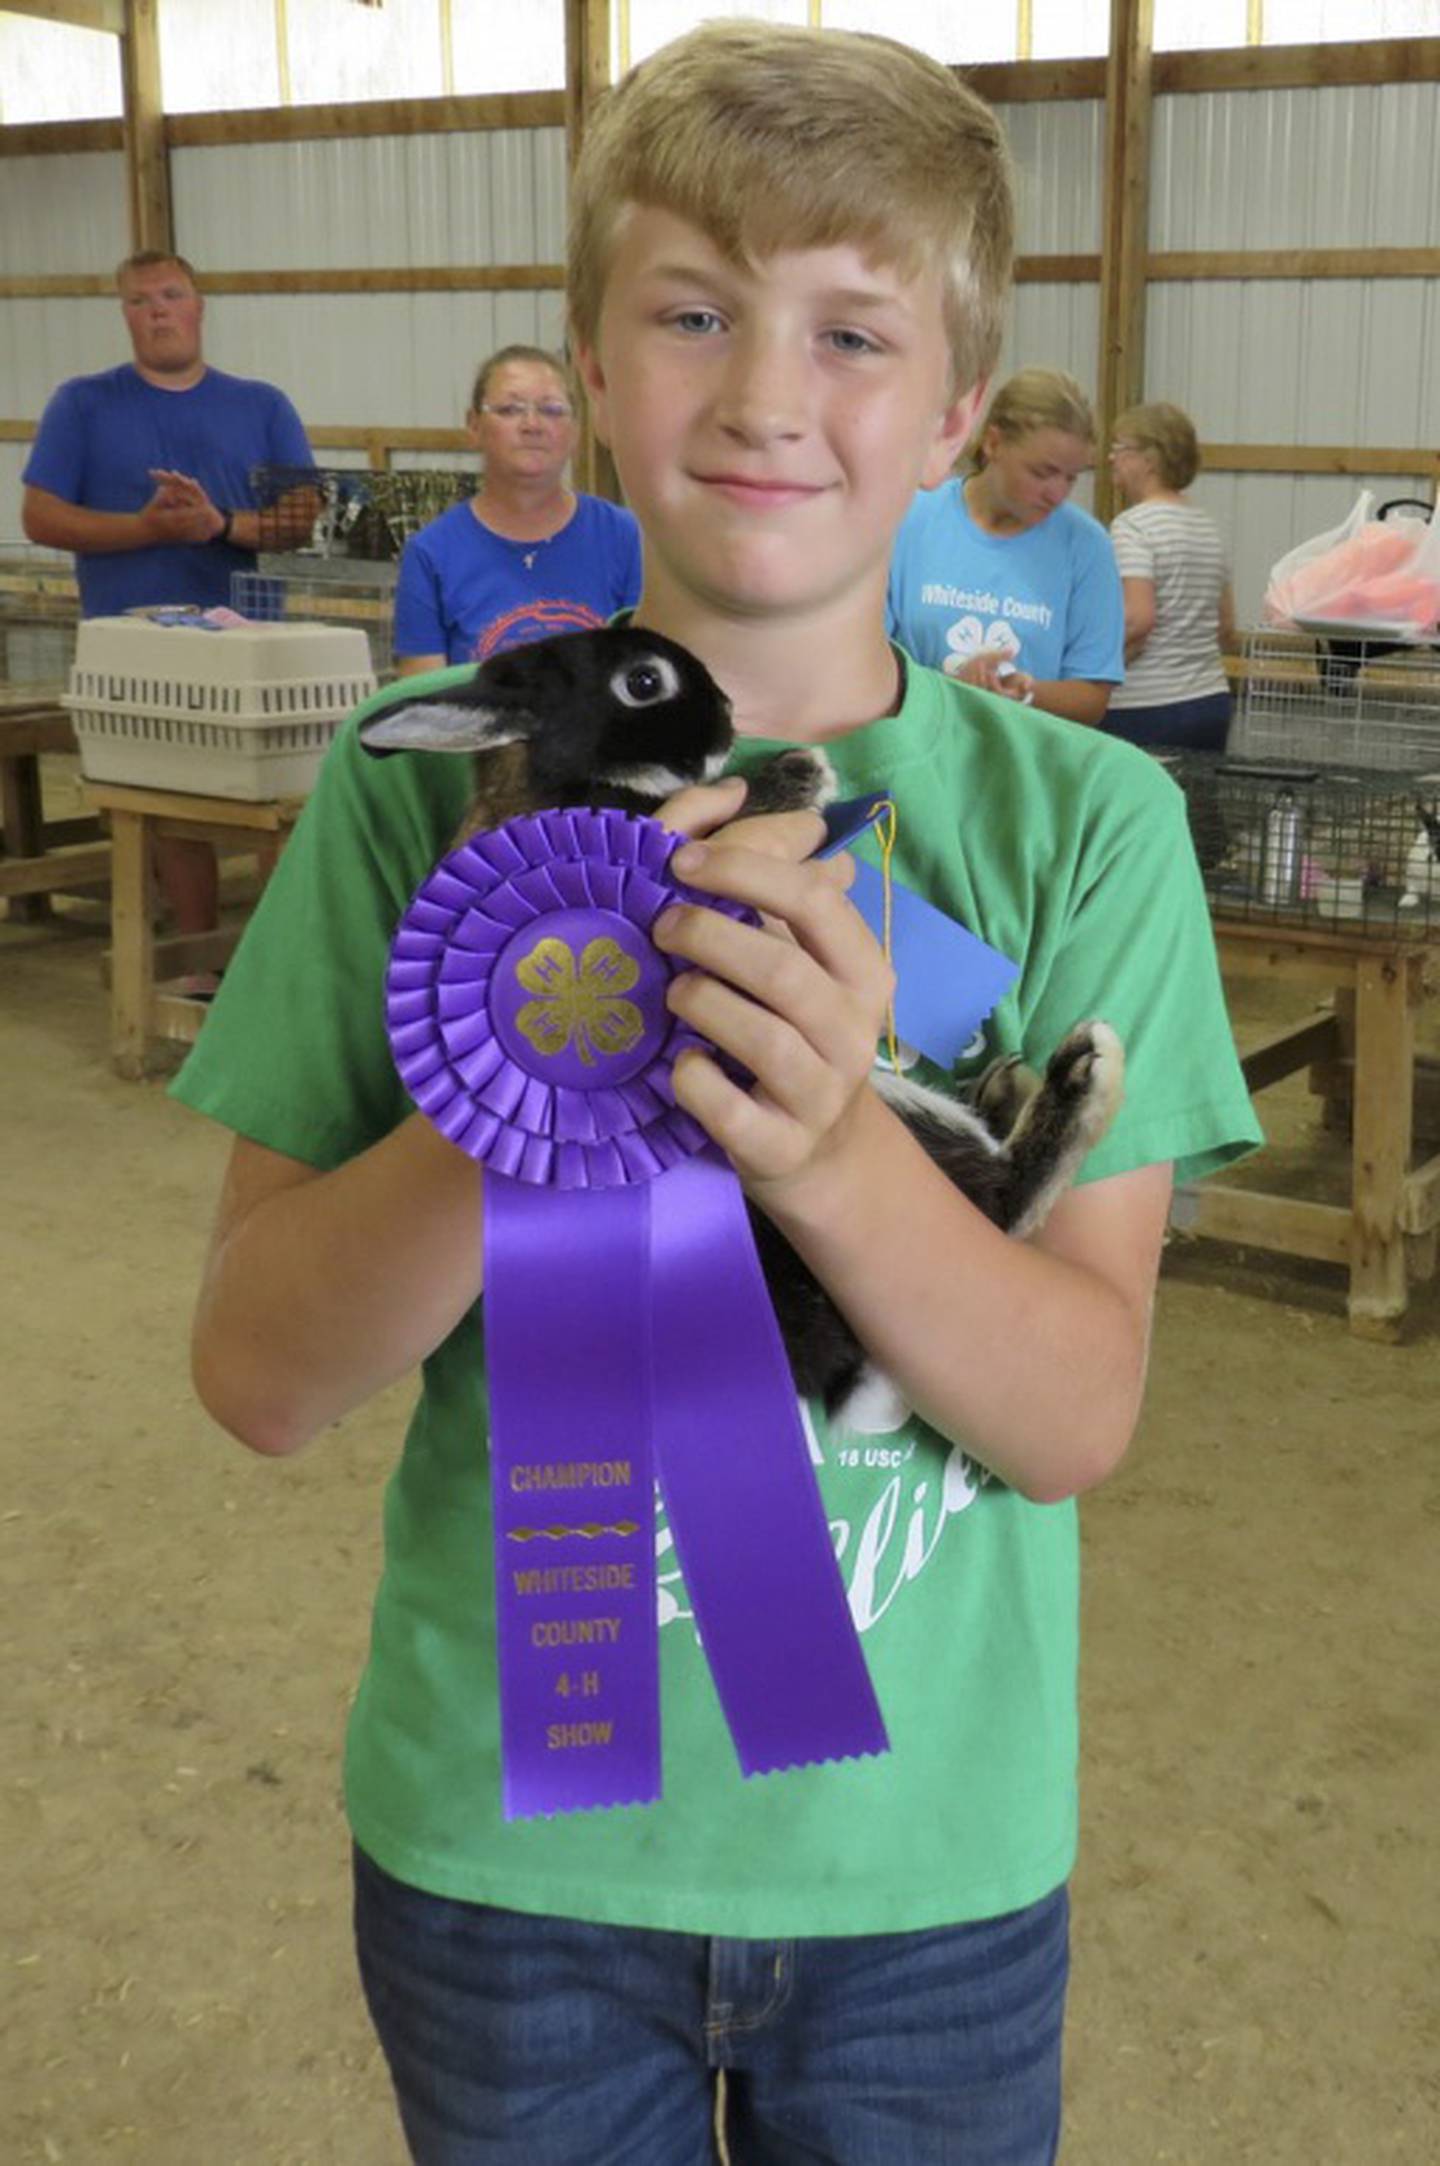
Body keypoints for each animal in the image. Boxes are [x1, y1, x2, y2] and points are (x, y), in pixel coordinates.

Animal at [361, 628, 1126, 1429]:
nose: (730, 713)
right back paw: (1080, 1073)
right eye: (643, 682)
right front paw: (798, 776)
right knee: (1006, 1199)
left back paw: (1010, 1085)